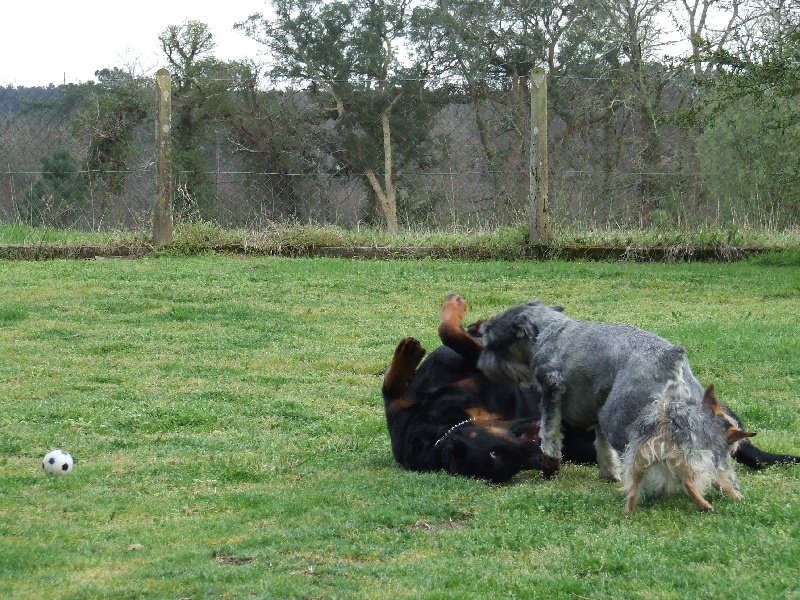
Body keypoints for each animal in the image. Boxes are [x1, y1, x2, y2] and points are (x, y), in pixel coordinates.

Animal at [382, 292, 800, 486]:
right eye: (499, 456)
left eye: (496, 338)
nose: (480, 335)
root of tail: (672, 359)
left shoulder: (549, 392)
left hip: (627, 417)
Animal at [476, 300, 756, 510]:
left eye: (492, 339)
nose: (481, 364)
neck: (550, 331)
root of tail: (670, 360)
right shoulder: (598, 402)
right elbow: (602, 446)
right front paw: (609, 472)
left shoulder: (551, 390)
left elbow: (550, 433)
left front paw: (550, 465)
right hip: (697, 420)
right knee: (710, 459)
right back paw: (726, 490)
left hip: (621, 421)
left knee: (643, 458)